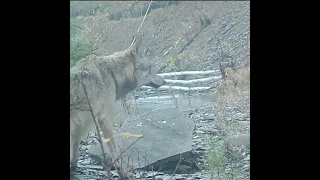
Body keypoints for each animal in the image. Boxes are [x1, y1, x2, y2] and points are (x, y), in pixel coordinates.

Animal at [69, 44, 165, 180]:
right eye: (150, 67)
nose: (165, 81)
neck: (112, 74)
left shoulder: (80, 126)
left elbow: (75, 151)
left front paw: (74, 168)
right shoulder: (104, 119)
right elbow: (115, 153)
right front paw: (124, 174)